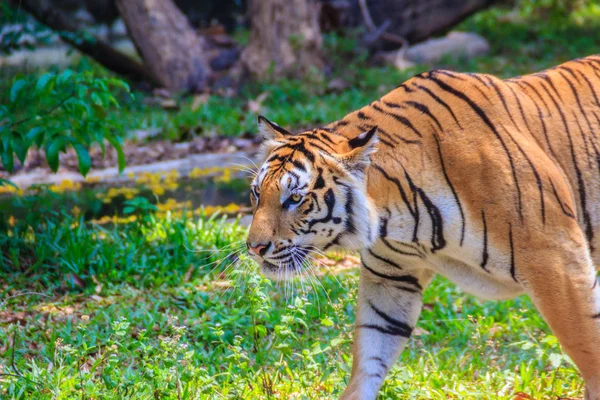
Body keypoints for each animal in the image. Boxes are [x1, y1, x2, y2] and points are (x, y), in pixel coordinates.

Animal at [244, 54, 600, 398]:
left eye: (294, 198)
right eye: (257, 193)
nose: (254, 248)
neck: (394, 216)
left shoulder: (556, 261)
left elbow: (588, 352)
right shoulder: (391, 279)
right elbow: (370, 354)